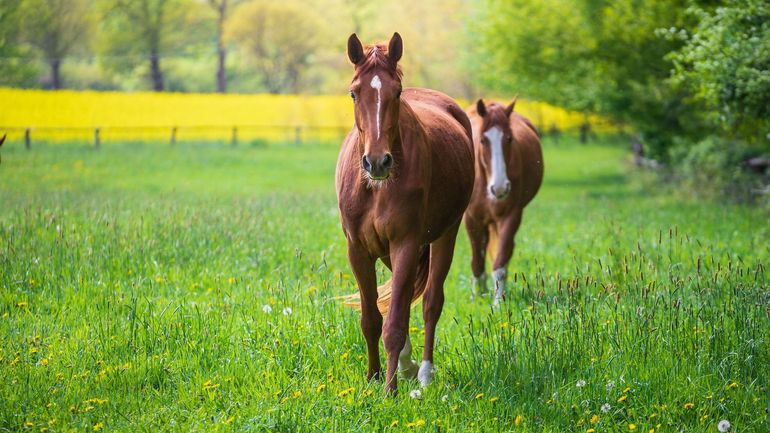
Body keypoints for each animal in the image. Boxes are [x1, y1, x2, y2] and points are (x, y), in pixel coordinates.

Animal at [336, 32, 475, 393]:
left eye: (396, 92)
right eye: (354, 92)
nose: (377, 162)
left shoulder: (405, 245)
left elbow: (396, 322)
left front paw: (389, 391)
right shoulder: (358, 250)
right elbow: (371, 319)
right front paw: (373, 377)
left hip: (446, 235)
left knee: (430, 302)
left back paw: (423, 372)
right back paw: (407, 365)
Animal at [464, 99, 544, 305]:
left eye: (509, 139)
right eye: (482, 140)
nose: (499, 188)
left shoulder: (510, 216)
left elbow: (500, 263)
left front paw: (498, 302)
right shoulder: (472, 219)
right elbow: (477, 262)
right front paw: (477, 297)